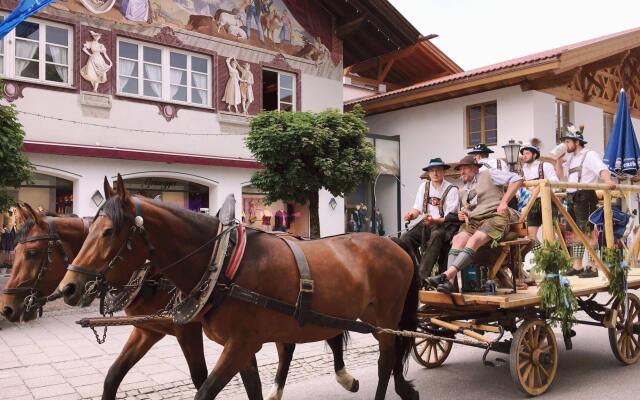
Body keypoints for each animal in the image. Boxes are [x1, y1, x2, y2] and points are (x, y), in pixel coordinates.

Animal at [2, 203, 358, 400]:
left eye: (32, 254)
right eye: (15, 252)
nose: (7, 307)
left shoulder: (188, 330)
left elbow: (201, 377)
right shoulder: (149, 329)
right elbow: (113, 376)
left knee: (327, 337)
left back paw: (344, 376)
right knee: (291, 346)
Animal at [57, 177, 420, 400]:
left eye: (109, 232)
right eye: (90, 229)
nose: (69, 287)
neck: (221, 263)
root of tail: (395, 242)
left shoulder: (235, 343)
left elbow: (203, 387)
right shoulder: (231, 344)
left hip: (386, 317)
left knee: (386, 359)